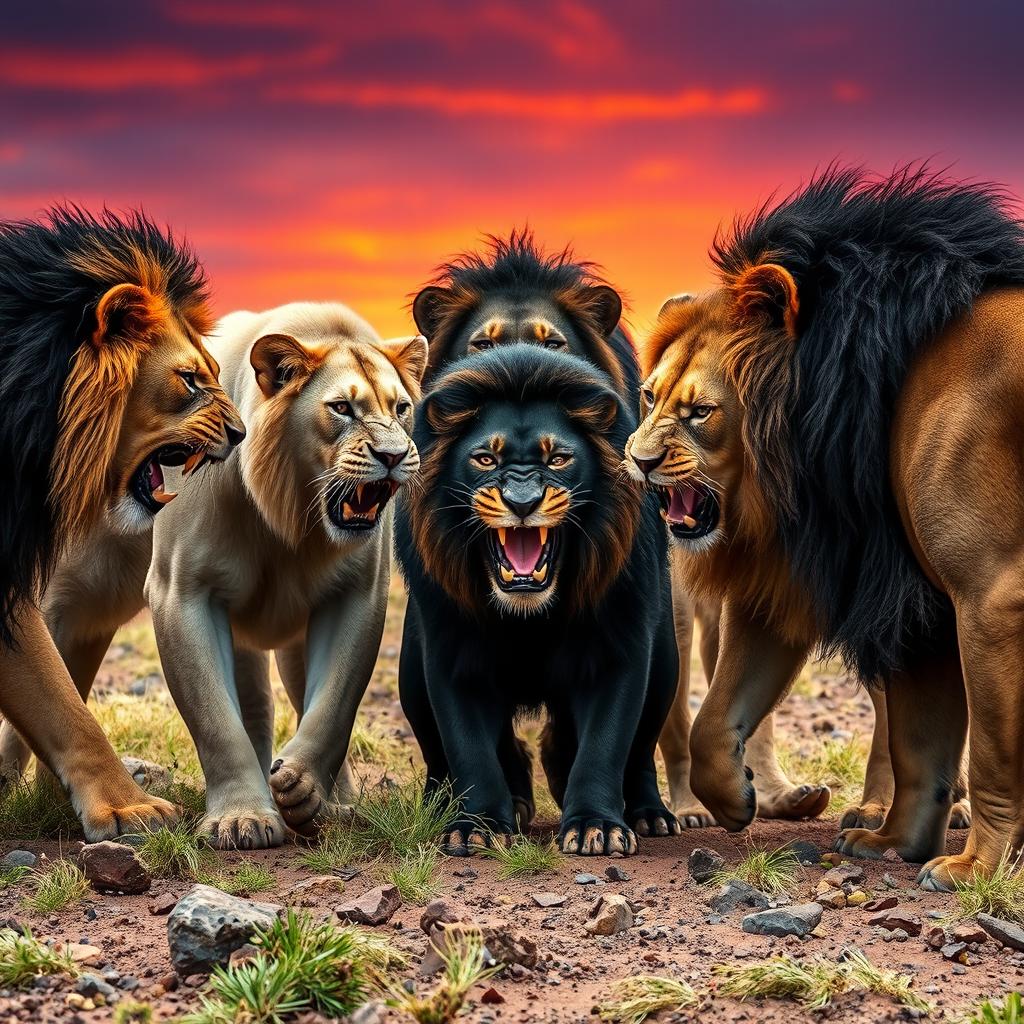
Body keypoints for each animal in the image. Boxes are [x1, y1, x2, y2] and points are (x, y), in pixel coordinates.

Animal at [144, 303, 427, 848]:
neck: (292, 513)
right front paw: (241, 819)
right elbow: (217, 720)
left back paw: (336, 805)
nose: (393, 456)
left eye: (401, 407)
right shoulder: (181, 593)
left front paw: (302, 789)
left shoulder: (358, 593)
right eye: (341, 408)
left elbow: (334, 705)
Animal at [397, 344, 680, 856]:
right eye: (485, 458)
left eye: (560, 458)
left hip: (666, 664)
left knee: (640, 753)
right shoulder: (452, 654)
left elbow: (606, 744)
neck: (529, 617)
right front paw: (478, 827)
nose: (523, 502)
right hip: (410, 674)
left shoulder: (620, 648)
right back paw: (454, 808)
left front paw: (595, 826)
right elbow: (468, 748)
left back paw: (649, 816)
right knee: (441, 757)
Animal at [624, 166, 1022, 889]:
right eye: (648, 395)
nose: (634, 461)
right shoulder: (902, 590)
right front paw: (887, 840)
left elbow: (992, 757)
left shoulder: (989, 594)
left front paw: (979, 866)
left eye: (699, 412)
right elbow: (720, 720)